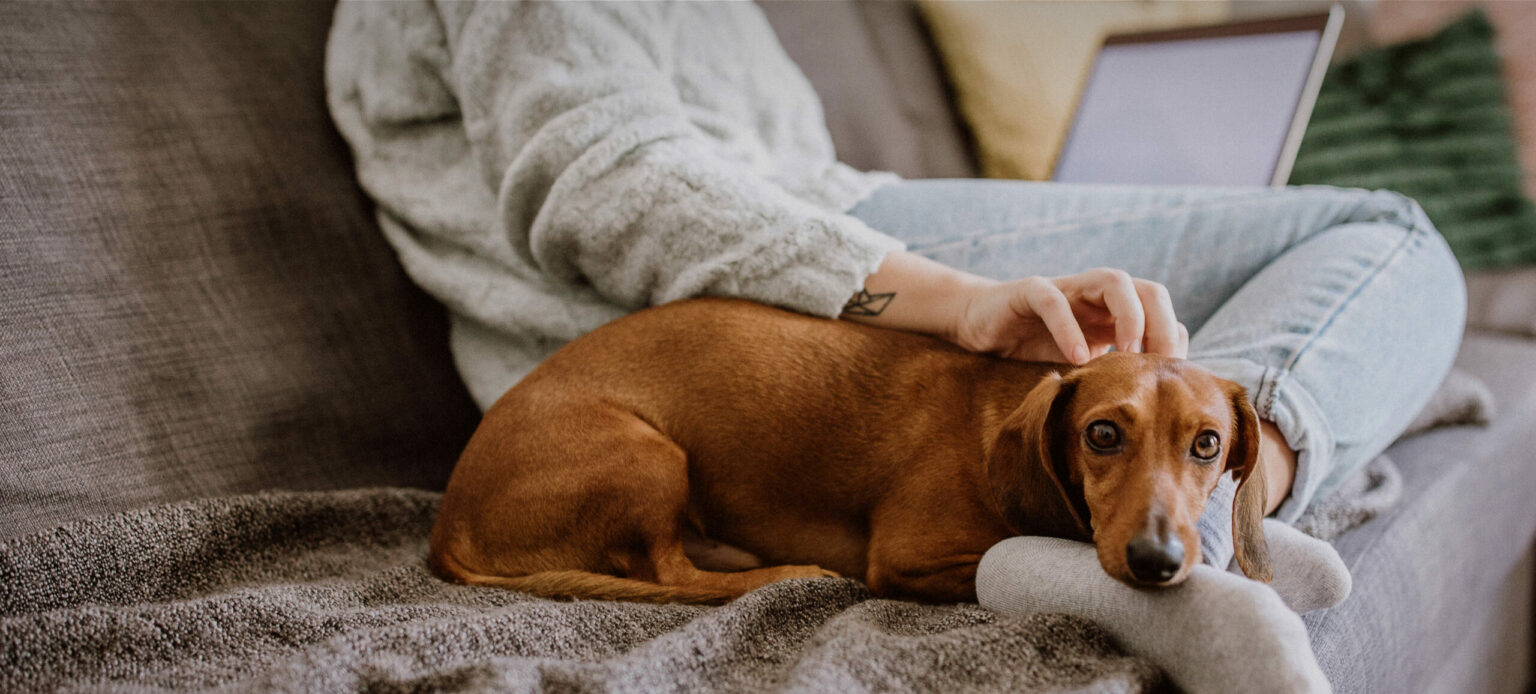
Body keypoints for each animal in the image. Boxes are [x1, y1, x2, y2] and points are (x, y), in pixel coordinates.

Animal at [433, 296, 1271, 601]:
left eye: (1207, 445)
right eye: (1102, 433)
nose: (1159, 562)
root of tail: (448, 530)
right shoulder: (908, 560)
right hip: (650, 456)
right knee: (673, 576)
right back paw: (777, 573)